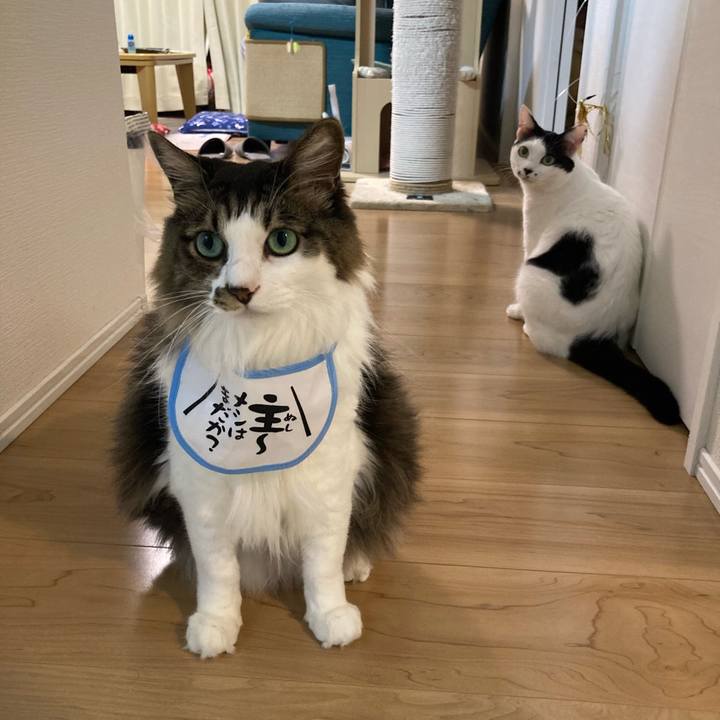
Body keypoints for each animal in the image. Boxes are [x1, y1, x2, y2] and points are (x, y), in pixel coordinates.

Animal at [113, 119, 420, 657]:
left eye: (281, 241)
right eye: (209, 244)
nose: (240, 291)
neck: (258, 355)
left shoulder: (330, 475)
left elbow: (322, 559)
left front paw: (331, 616)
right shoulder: (200, 486)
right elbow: (218, 567)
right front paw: (215, 624)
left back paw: (356, 564)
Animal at [507, 105, 679, 425]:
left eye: (548, 160)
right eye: (524, 151)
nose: (526, 170)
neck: (568, 180)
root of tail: (592, 334)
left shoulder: (533, 238)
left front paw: (516, 310)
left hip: (531, 273)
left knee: (551, 344)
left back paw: (527, 325)